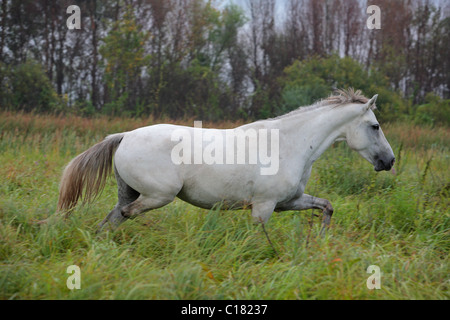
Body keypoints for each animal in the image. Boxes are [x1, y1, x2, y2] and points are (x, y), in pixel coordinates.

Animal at [57, 89, 394, 239]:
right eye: (375, 126)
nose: (389, 161)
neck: (289, 144)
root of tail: (125, 136)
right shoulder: (264, 206)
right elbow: (261, 236)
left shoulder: (288, 201)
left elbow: (327, 206)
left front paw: (320, 239)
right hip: (158, 195)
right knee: (126, 214)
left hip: (128, 191)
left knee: (113, 218)